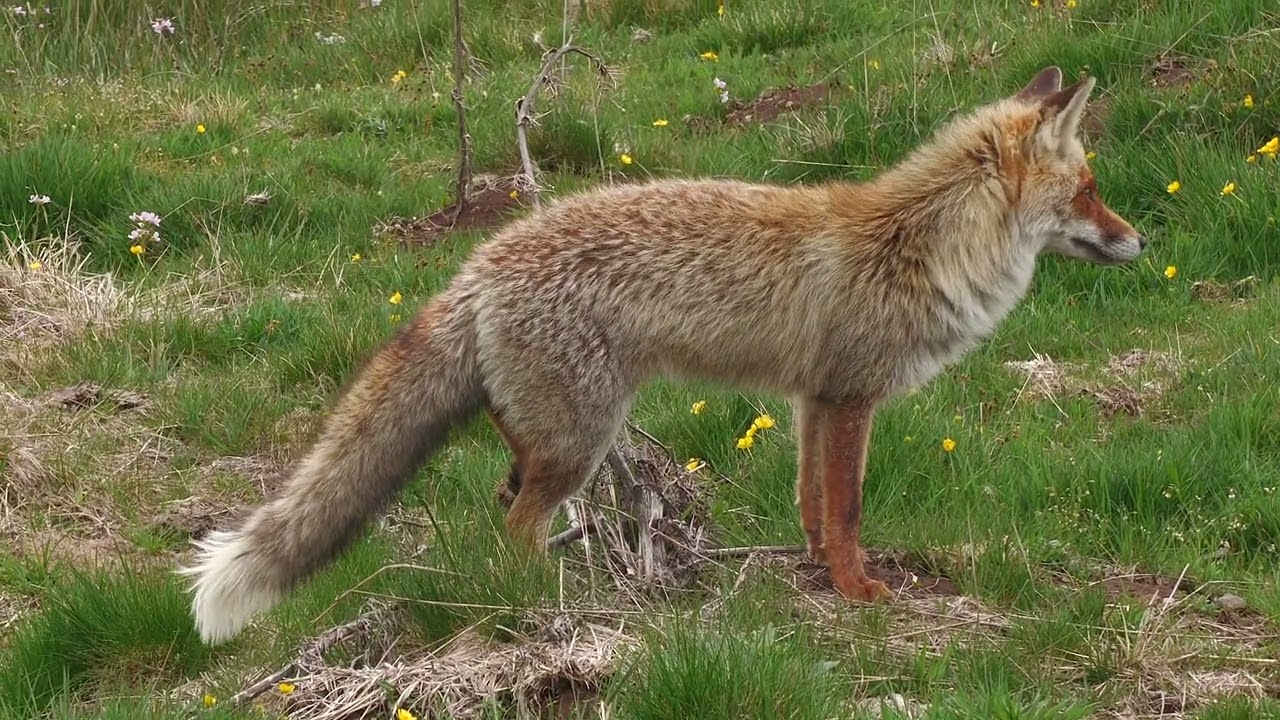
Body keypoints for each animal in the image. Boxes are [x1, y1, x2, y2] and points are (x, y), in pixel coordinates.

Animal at [181, 66, 1145, 645]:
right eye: (1092, 189)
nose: (1140, 242)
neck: (919, 247)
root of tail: (479, 263)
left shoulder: (810, 401)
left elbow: (810, 502)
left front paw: (811, 574)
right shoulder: (850, 396)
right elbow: (848, 510)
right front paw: (858, 591)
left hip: (549, 432)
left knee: (503, 494)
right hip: (582, 439)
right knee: (516, 527)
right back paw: (564, 607)